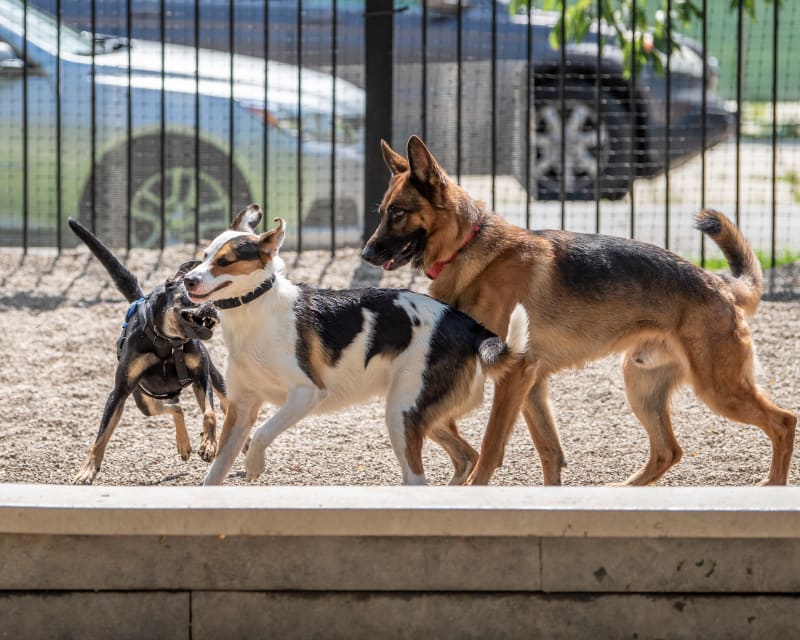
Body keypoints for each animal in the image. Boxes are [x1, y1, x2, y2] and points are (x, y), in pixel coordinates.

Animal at [69, 220, 228, 484]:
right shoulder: (121, 391)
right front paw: (87, 470)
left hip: (215, 380)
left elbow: (210, 413)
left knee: (224, 406)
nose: (213, 308)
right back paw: (184, 443)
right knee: (175, 407)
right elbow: (101, 435)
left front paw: (208, 445)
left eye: (213, 297)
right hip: (144, 401)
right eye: (191, 295)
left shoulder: (201, 376)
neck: (168, 343)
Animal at [184, 205, 528, 484]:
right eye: (204, 256)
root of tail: (469, 327)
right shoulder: (241, 409)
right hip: (424, 415)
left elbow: (262, 433)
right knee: (467, 457)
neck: (256, 312)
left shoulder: (307, 392)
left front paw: (255, 464)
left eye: (225, 261)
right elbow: (214, 475)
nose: (188, 280)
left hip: (402, 414)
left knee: (419, 477)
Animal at [360, 135, 792, 484]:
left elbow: (491, 448)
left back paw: (772, 486)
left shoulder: (514, 373)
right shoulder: (530, 382)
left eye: (397, 212)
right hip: (642, 385)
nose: (365, 254)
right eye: (382, 211)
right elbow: (550, 452)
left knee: (784, 422)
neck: (469, 245)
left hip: (718, 389)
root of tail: (719, 284)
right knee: (668, 451)